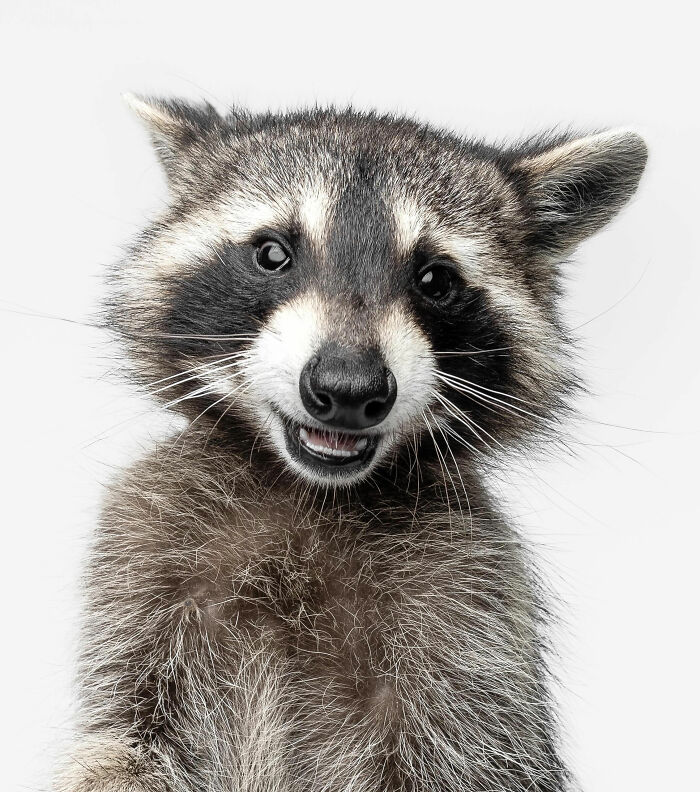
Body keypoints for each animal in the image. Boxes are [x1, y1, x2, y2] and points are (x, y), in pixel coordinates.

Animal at [55, 98, 647, 792]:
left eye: (436, 280)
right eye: (272, 253)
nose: (346, 389)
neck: (313, 492)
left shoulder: (471, 623)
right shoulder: (145, 572)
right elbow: (122, 744)